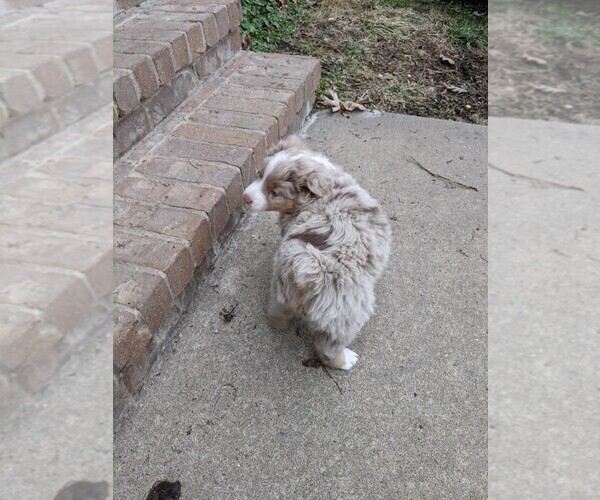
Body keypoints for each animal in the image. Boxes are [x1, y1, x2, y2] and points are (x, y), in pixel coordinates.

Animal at [241, 135, 392, 370]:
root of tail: (308, 274)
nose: (245, 197)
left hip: (281, 291)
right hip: (345, 318)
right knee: (327, 348)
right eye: (259, 174)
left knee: (276, 313)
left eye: (274, 192)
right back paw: (346, 360)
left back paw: (277, 323)